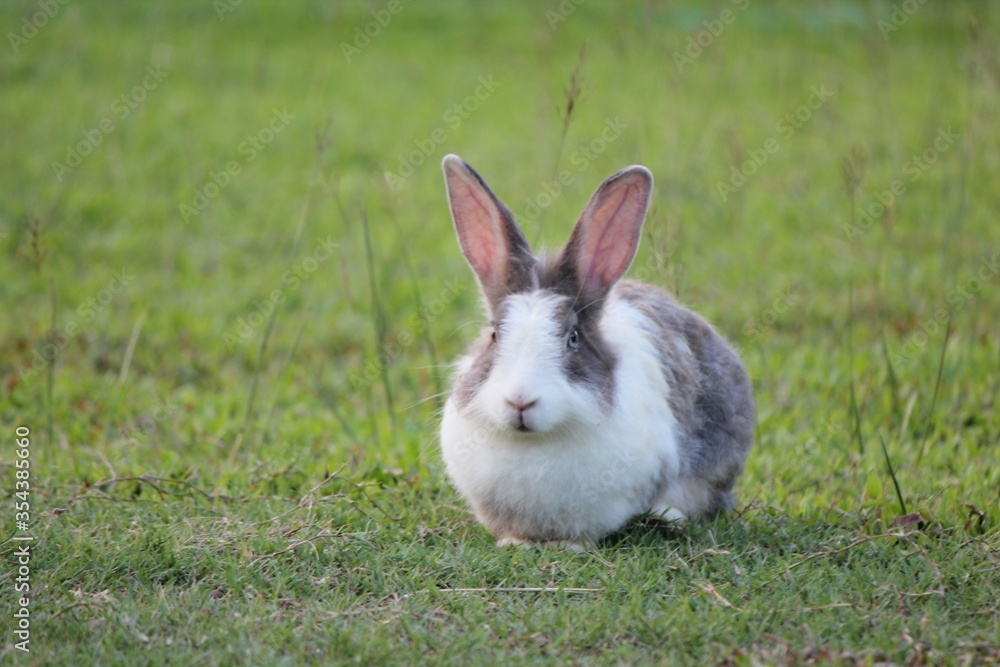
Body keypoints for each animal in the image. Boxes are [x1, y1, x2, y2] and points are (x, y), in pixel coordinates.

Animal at [439, 154, 755, 549]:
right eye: (495, 334)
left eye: (572, 338)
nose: (520, 401)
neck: (534, 441)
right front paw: (514, 543)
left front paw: (571, 547)